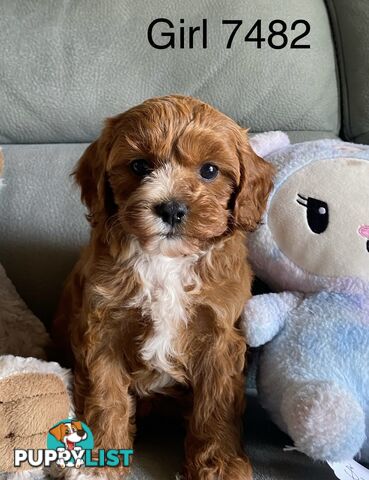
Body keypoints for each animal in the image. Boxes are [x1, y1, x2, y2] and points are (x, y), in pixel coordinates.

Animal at [54, 95, 274, 478]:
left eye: (210, 170)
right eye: (140, 166)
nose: (171, 209)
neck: (167, 260)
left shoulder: (219, 336)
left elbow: (215, 404)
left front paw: (219, 464)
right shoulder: (103, 329)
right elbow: (105, 395)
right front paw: (99, 460)